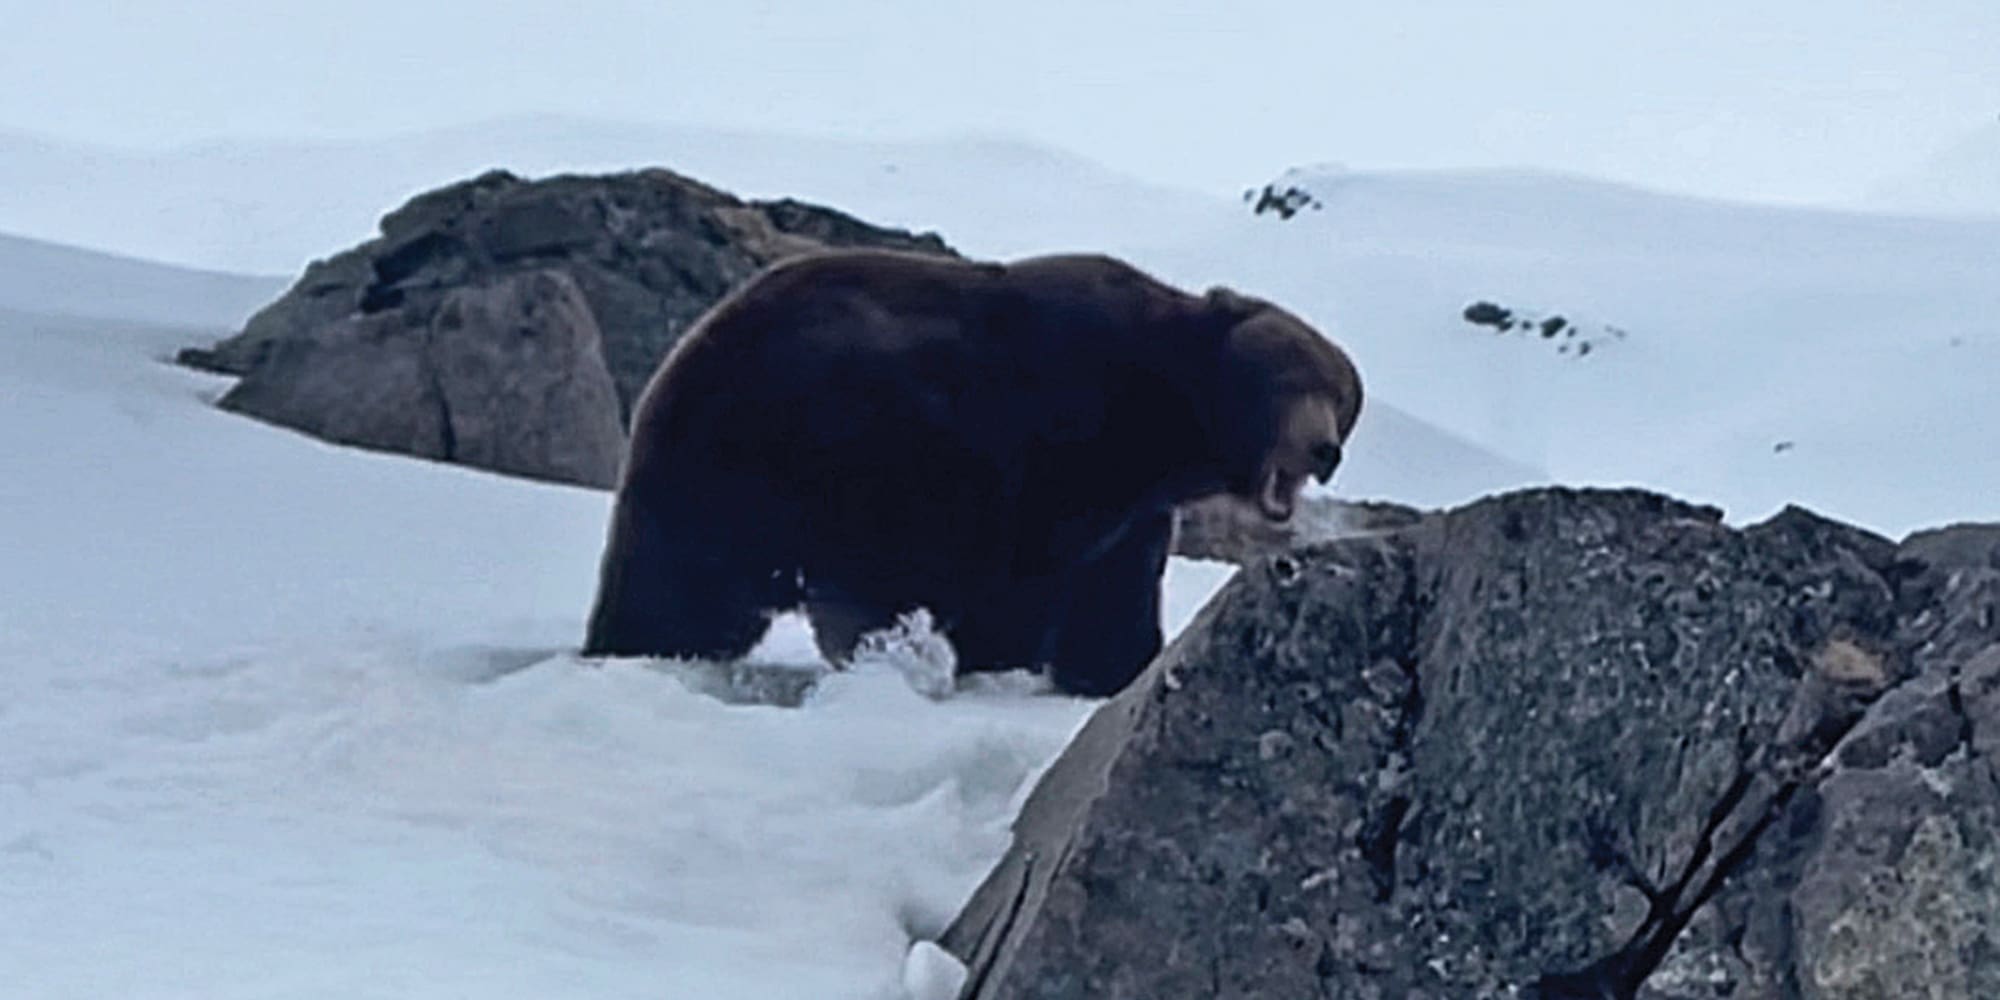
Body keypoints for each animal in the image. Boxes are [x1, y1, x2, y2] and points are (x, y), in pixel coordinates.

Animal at [582, 249, 1362, 696]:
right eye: (1288, 379)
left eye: (1341, 395)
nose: (1323, 449)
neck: (1168, 415)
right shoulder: (1061, 434)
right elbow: (1024, 582)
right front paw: (1007, 662)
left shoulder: (1135, 506)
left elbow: (1115, 592)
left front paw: (1114, 670)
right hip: (816, 451)